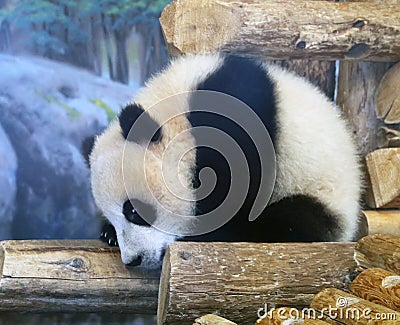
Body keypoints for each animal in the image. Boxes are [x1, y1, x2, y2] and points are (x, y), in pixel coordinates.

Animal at [89, 52, 364, 268]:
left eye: (133, 211)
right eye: (114, 217)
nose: (133, 260)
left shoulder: (237, 109)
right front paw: (107, 233)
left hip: (323, 193)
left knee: (294, 219)